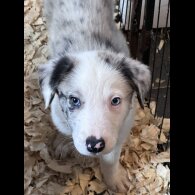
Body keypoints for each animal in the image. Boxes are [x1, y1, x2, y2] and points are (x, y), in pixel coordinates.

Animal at [38, 0, 151, 192]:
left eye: (115, 100)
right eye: (74, 100)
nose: (95, 144)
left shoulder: (122, 128)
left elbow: (110, 159)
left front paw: (114, 180)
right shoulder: (57, 113)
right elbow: (64, 128)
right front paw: (61, 141)